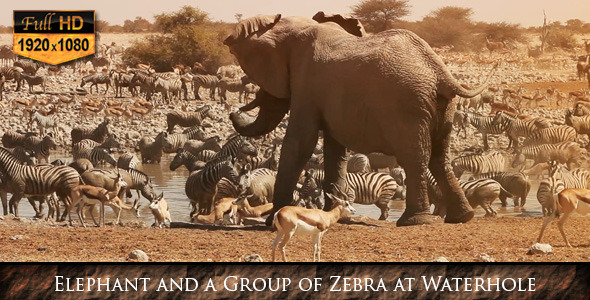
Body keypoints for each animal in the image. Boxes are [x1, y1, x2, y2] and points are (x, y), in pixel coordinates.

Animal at [224, 12, 498, 226]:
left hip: (408, 106)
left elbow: (300, 142)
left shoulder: (306, 83)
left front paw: (273, 222)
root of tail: (440, 71)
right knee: (439, 157)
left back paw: (414, 221)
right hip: (444, 105)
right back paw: (461, 218)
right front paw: (334, 215)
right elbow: (334, 149)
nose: (234, 111)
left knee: (414, 157)